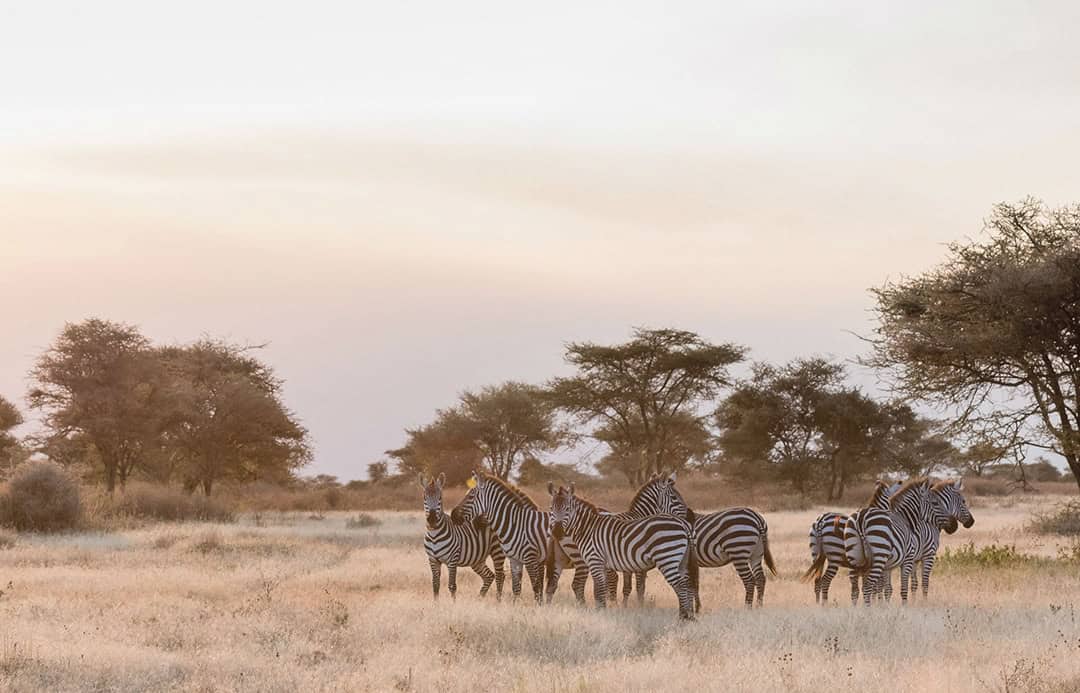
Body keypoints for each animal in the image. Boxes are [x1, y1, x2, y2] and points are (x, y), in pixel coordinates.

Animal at [548, 479, 699, 621]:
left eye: (567, 509)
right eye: (551, 509)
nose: (557, 532)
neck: (587, 528)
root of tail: (683, 524)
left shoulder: (595, 561)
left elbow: (600, 591)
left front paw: (601, 614)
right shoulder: (604, 564)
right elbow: (603, 590)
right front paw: (604, 611)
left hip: (667, 558)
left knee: (680, 585)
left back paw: (684, 617)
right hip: (681, 561)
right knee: (686, 584)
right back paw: (687, 617)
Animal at [842, 474, 946, 604]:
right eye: (935, 502)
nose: (948, 521)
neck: (905, 520)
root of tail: (860, 518)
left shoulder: (888, 566)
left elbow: (887, 588)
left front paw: (884, 606)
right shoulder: (908, 559)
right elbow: (903, 588)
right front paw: (903, 606)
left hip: (854, 556)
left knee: (855, 589)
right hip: (879, 555)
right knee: (867, 586)